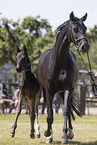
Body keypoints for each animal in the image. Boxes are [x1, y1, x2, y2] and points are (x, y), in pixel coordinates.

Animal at [37, 11, 89, 144]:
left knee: (69, 108)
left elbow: (65, 110)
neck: (58, 60)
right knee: (49, 111)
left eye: (85, 28)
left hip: (67, 91)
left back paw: (70, 132)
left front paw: (65, 136)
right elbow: (50, 115)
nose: (85, 46)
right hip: (48, 92)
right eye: (75, 28)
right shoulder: (49, 91)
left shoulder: (67, 88)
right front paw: (48, 134)